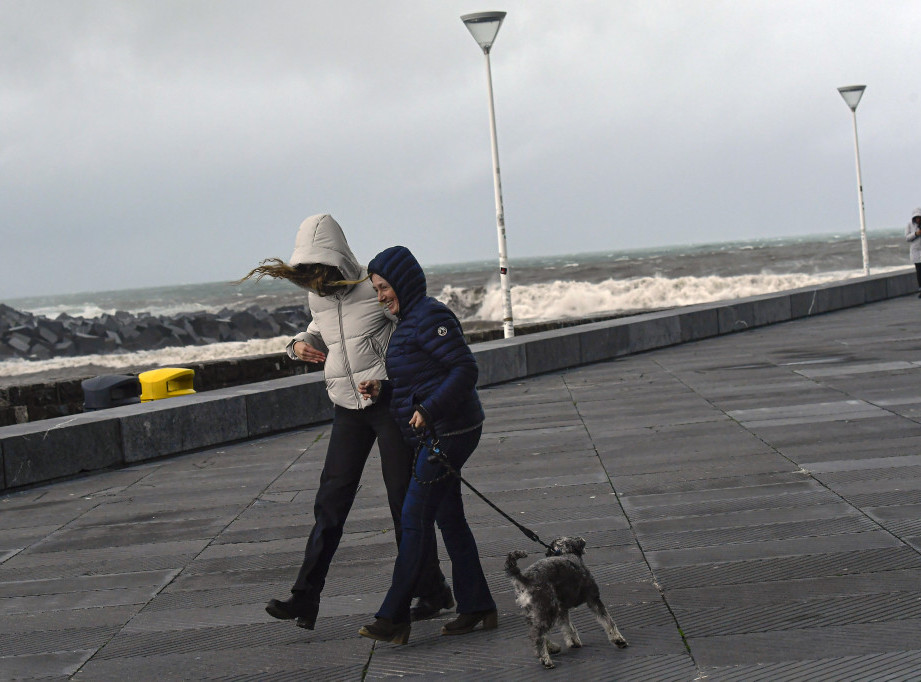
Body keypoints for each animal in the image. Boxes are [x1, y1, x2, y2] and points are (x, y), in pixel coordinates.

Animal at [506, 536, 628, 664]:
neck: (565, 552)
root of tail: (525, 579)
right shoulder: (593, 599)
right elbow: (608, 621)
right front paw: (619, 640)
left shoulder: (562, 609)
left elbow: (568, 626)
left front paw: (574, 641)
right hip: (548, 610)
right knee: (537, 635)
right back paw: (546, 659)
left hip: (533, 613)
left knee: (535, 632)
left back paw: (552, 648)